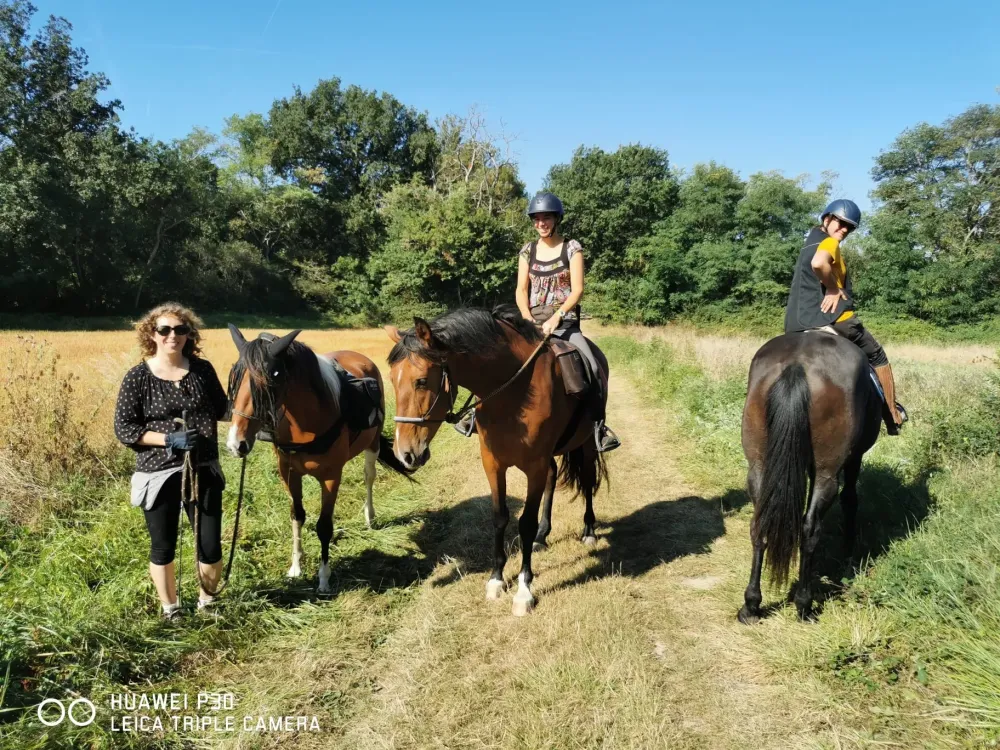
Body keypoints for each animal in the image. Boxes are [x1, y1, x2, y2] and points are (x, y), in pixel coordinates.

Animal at [225, 325, 413, 594]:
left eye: (273, 376)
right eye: (235, 377)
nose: (236, 443)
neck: (304, 424)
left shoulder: (331, 477)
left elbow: (324, 526)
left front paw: (324, 577)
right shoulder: (288, 473)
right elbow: (297, 515)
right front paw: (295, 567)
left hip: (373, 444)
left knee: (369, 477)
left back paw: (369, 515)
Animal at [385, 305, 609, 616]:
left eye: (421, 381)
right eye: (391, 380)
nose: (405, 454)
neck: (514, 393)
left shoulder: (534, 466)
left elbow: (524, 523)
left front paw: (524, 591)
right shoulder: (493, 464)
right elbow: (499, 518)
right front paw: (496, 580)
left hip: (586, 443)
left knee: (587, 480)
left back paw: (588, 530)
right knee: (553, 478)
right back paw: (543, 536)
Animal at [738, 331, 883, 623]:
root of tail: (797, 365)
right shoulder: (853, 458)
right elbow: (850, 499)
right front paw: (848, 550)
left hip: (758, 466)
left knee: (759, 523)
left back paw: (751, 605)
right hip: (828, 473)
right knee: (811, 527)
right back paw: (804, 604)